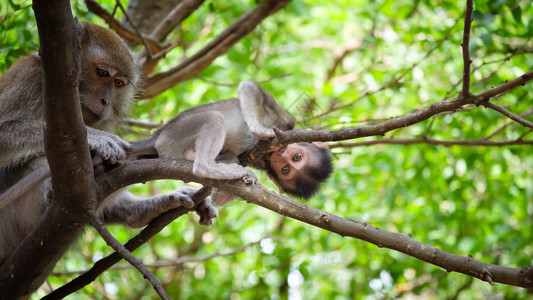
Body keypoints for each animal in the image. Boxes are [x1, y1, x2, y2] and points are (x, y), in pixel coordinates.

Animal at [132, 81, 332, 205]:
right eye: (296, 157)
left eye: (286, 170)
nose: (281, 154)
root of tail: (159, 134)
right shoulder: (285, 122)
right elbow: (250, 88)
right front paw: (260, 130)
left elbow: (218, 196)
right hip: (176, 132)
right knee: (214, 118)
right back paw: (204, 165)